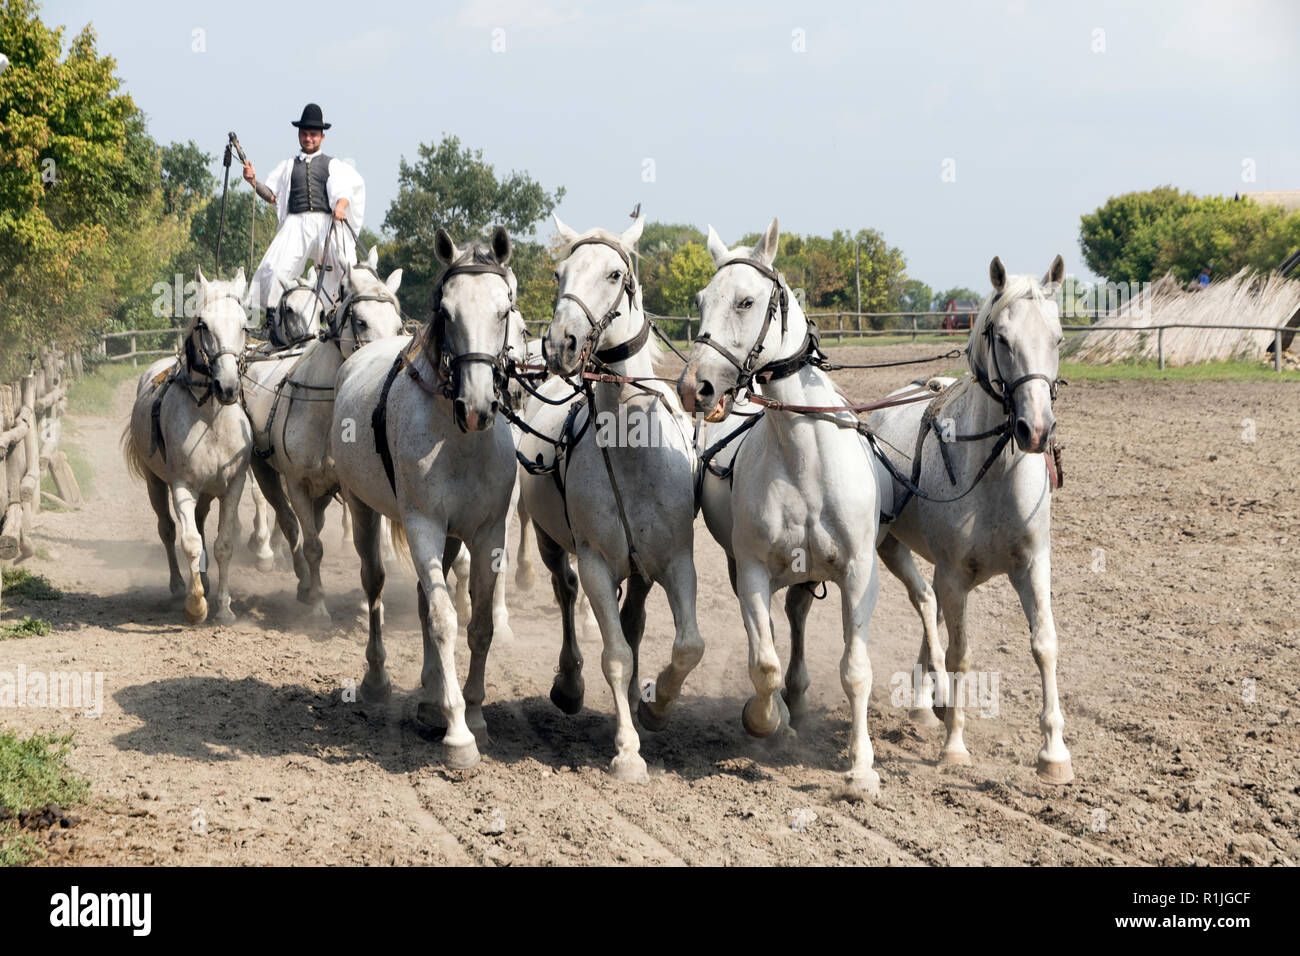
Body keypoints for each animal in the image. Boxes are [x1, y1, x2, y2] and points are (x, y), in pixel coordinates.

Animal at [124, 269, 253, 629]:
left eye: (244, 325)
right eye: (203, 324)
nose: (227, 387)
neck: (211, 420)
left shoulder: (233, 485)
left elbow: (223, 544)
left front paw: (224, 607)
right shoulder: (181, 486)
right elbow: (191, 542)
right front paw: (196, 606)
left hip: (206, 492)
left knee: (198, 520)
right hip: (156, 484)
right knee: (168, 530)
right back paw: (179, 584)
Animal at [330, 226, 517, 770]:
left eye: (504, 309)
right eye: (447, 312)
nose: (476, 407)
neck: (459, 441)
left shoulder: (486, 532)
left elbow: (478, 623)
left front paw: (472, 713)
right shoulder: (423, 527)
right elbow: (442, 620)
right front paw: (458, 734)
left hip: (450, 538)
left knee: (422, 596)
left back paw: (431, 695)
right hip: (365, 510)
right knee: (375, 585)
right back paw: (379, 682)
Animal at [517, 214, 707, 785]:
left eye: (615, 274)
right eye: (559, 273)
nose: (560, 343)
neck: (632, 454)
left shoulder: (676, 560)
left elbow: (686, 645)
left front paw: (656, 706)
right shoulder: (598, 563)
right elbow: (615, 655)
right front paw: (627, 751)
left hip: (641, 570)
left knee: (636, 620)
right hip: (549, 542)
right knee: (565, 594)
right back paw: (569, 685)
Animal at [681, 221, 894, 796]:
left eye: (746, 301)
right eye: (701, 300)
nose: (695, 386)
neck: (805, 458)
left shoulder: (859, 574)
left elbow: (856, 669)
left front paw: (861, 768)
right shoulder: (753, 571)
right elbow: (764, 663)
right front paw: (764, 720)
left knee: (797, 616)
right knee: (777, 634)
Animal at [863, 256, 1076, 785]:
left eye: (1058, 338)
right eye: (1002, 337)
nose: (1036, 430)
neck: (994, 475)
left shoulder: (1032, 566)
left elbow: (1044, 645)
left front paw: (1054, 753)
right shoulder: (955, 574)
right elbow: (960, 653)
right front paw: (954, 745)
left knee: (931, 608)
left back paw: (927, 701)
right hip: (892, 549)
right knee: (924, 602)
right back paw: (933, 700)